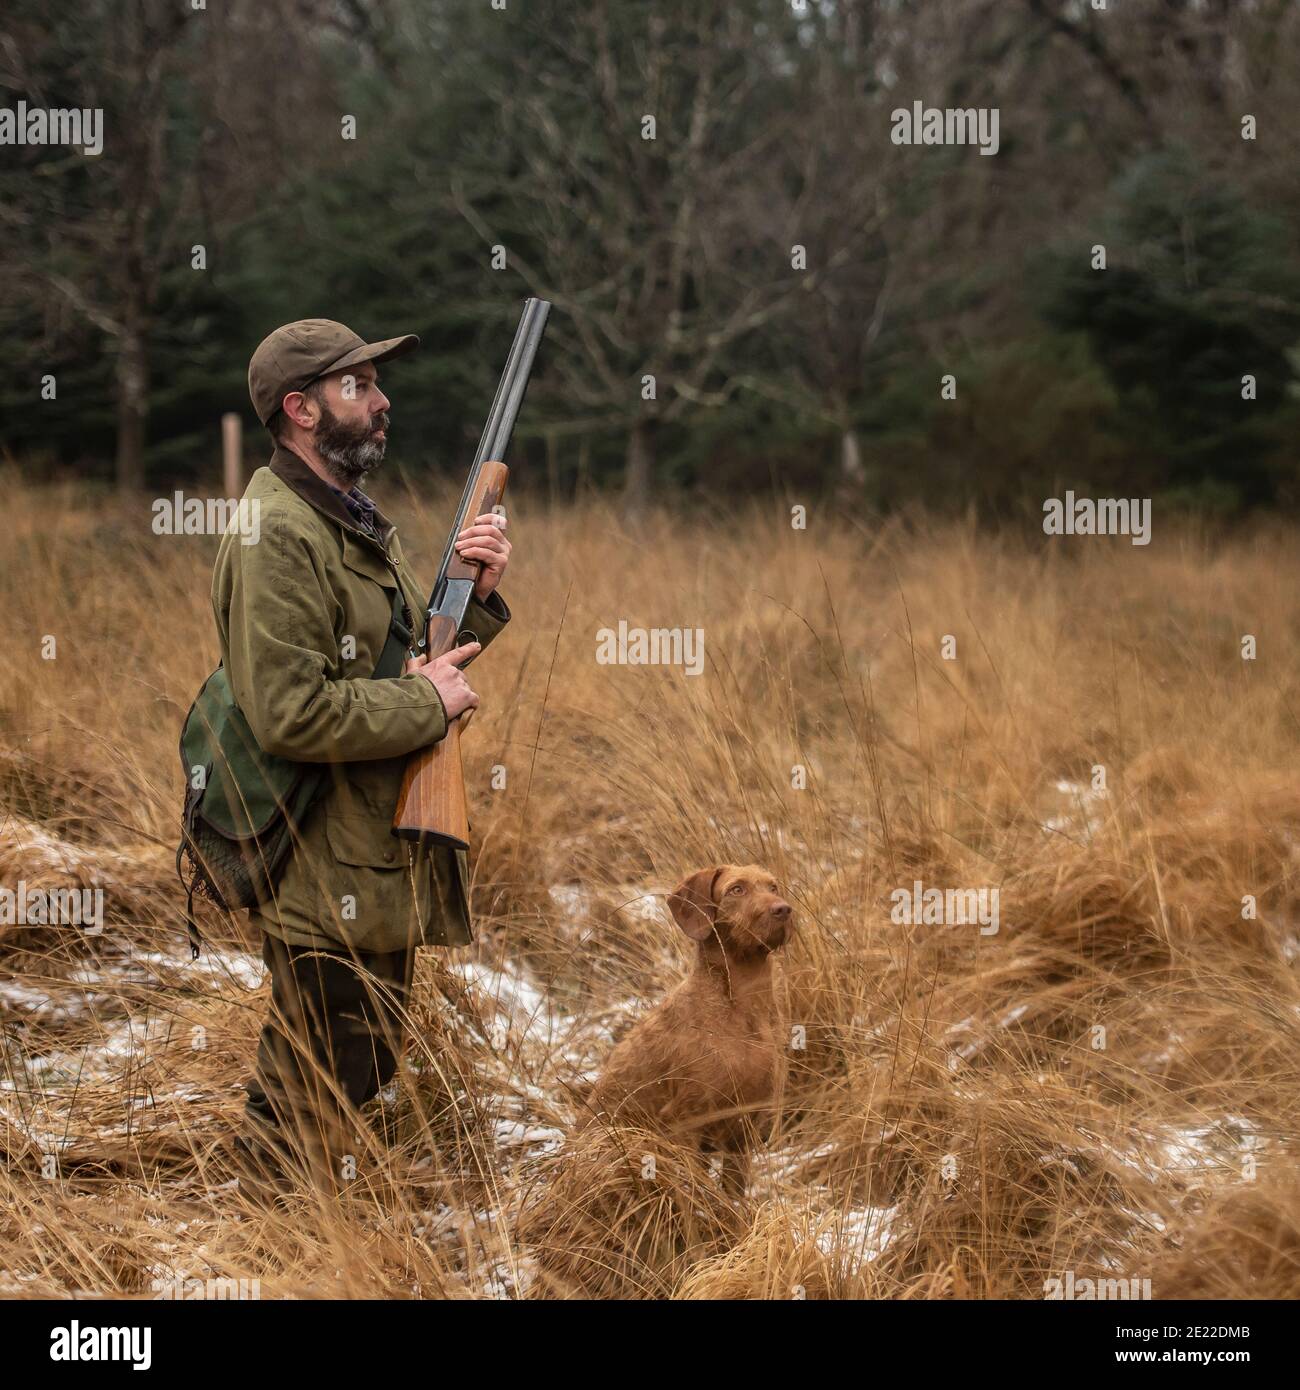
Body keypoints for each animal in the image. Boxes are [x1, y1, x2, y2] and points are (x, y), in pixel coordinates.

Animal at [586, 861, 795, 1178]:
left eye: (773, 886)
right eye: (737, 889)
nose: (783, 909)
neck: (744, 1007)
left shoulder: (744, 1127)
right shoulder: (686, 1123)